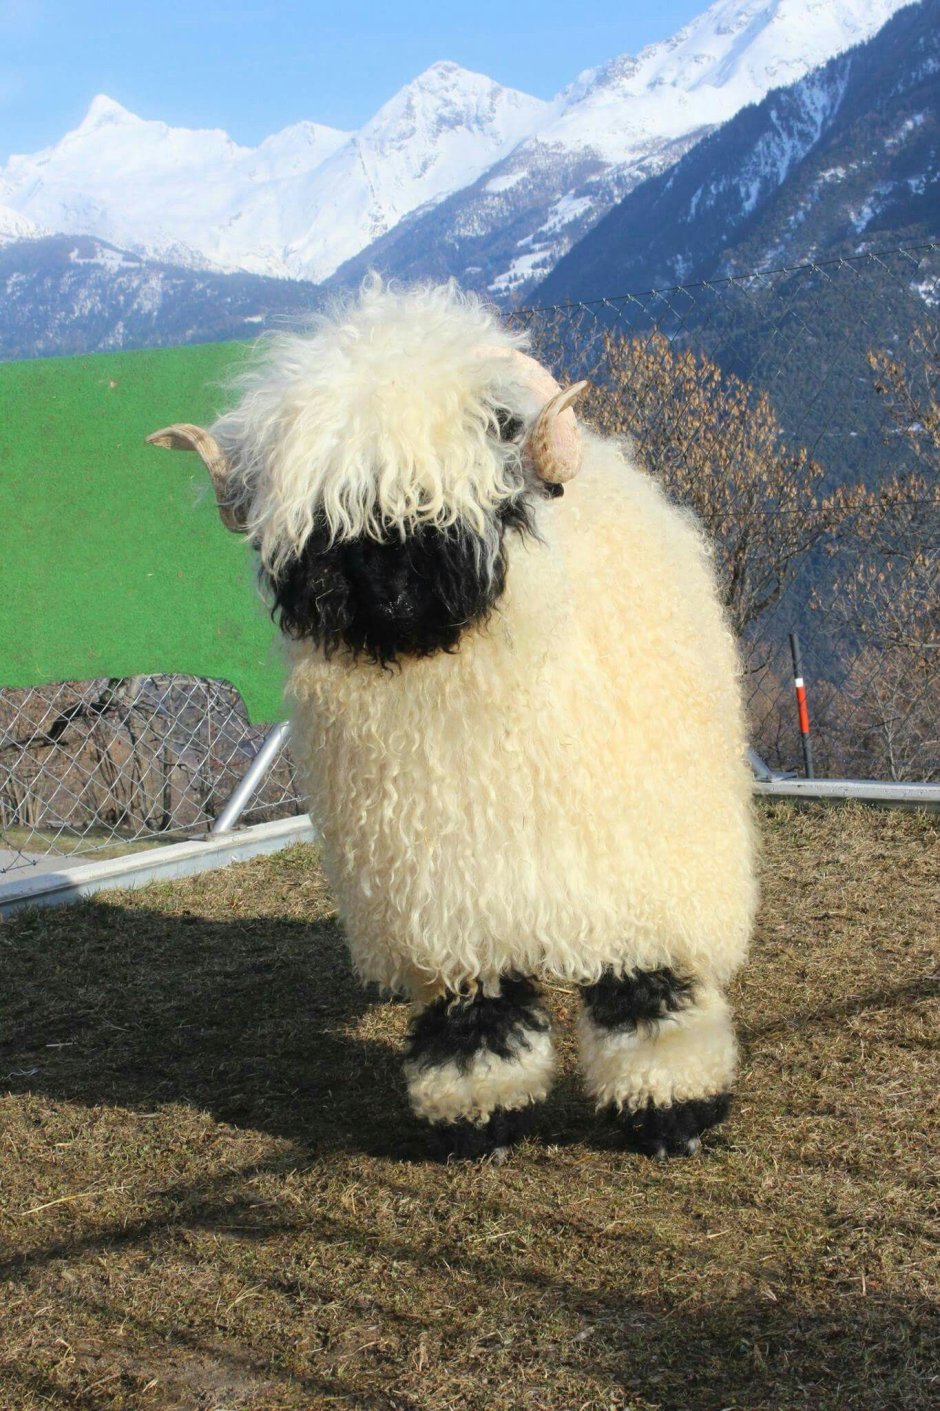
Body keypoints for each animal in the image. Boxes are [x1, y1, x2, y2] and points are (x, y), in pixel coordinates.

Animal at [148, 278, 757, 1160]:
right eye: (325, 518)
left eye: (476, 474)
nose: (388, 592)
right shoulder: (442, 900)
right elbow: (477, 1013)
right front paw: (481, 1117)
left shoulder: (634, 872)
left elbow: (647, 991)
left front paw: (670, 1106)